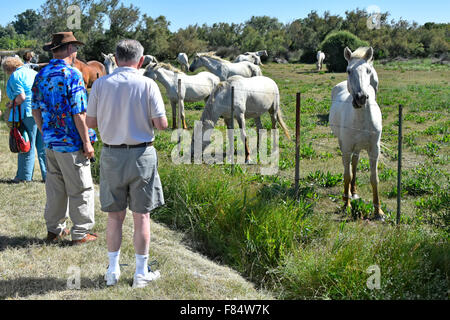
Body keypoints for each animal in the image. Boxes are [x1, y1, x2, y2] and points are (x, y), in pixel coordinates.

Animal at [328, 46, 384, 220]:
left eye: (368, 70)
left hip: (358, 148)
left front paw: (378, 211)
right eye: (348, 70)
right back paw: (348, 195)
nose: (360, 98)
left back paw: (353, 191)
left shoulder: (374, 150)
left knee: (355, 163)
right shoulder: (346, 148)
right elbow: (346, 175)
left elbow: (374, 178)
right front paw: (346, 204)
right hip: (344, 144)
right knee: (349, 167)